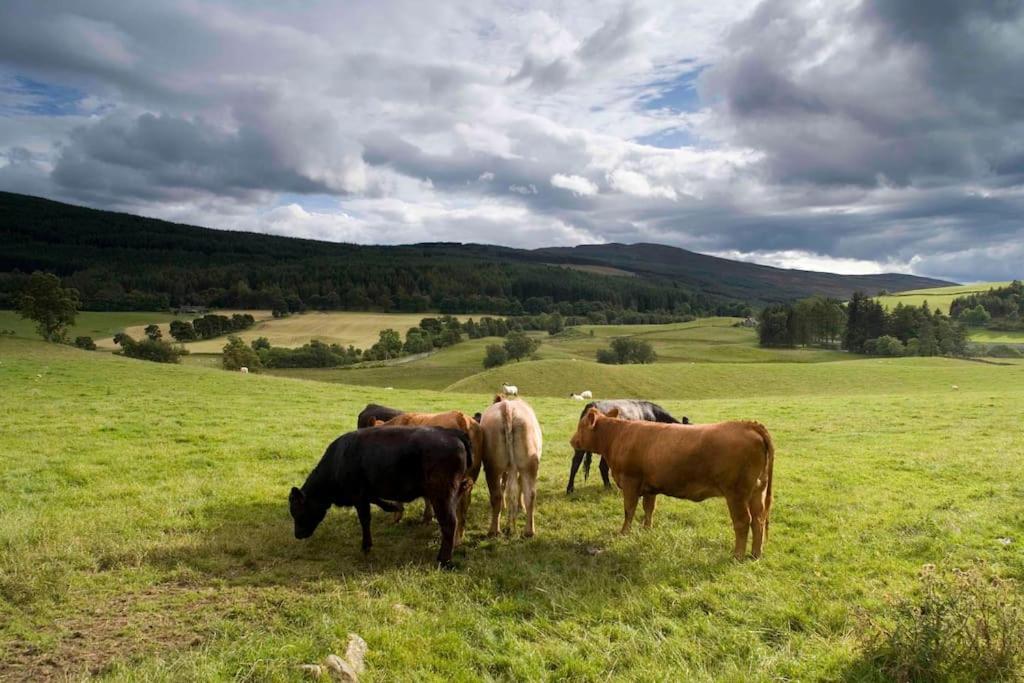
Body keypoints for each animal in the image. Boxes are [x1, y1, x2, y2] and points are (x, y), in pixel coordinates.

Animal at [290, 428, 473, 565]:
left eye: (298, 512)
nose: (297, 535)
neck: (338, 460)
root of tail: (451, 433)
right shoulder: (365, 492)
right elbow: (377, 500)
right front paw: (394, 507)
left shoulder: (358, 495)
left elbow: (365, 519)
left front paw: (366, 546)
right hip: (453, 492)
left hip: (441, 494)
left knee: (449, 523)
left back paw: (444, 560)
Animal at [479, 395, 544, 540]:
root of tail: (507, 407)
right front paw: (519, 507)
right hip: (529, 465)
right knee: (530, 494)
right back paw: (529, 532)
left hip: (493, 467)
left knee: (497, 495)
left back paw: (494, 531)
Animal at [569, 409, 774, 557]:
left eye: (581, 426)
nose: (572, 441)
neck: (618, 436)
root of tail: (748, 425)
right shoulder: (649, 487)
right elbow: (648, 509)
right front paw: (646, 530)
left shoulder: (630, 482)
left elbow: (629, 510)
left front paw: (624, 533)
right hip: (757, 491)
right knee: (759, 519)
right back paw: (755, 554)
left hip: (736, 494)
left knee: (743, 521)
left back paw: (738, 555)